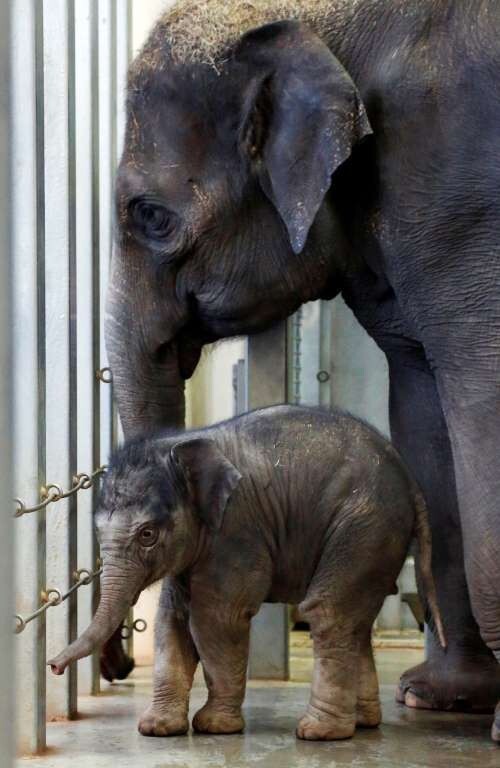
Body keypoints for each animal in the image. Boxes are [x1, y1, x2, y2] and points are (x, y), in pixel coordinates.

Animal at [48, 404, 444, 740]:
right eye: (97, 532)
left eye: (147, 535)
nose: (53, 665)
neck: (183, 444)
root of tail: (407, 475)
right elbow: (172, 618)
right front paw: (157, 728)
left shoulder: (235, 531)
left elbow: (216, 618)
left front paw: (213, 726)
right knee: (356, 622)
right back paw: (362, 723)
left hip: (365, 525)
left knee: (330, 611)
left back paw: (319, 732)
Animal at [103, 1, 498, 744]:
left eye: (152, 216)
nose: (116, 666)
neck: (317, 19)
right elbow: (425, 409)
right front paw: (443, 697)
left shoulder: (458, 191)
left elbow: (481, 394)